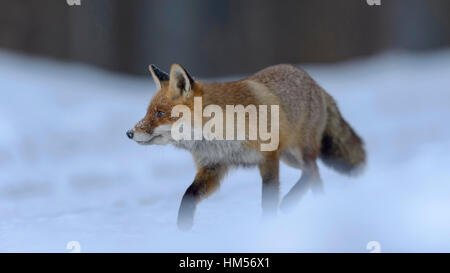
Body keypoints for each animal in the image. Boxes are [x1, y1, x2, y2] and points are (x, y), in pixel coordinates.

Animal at [126, 63, 366, 230]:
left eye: (159, 113)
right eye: (147, 112)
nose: (129, 133)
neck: (218, 134)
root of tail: (314, 82)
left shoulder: (268, 158)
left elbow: (268, 201)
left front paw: (268, 226)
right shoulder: (214, 166)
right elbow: (188, 196)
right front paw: (182, 230)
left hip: (296, 152)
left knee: (312, 170)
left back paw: (292, 204)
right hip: (290, 157)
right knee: (315, 174)